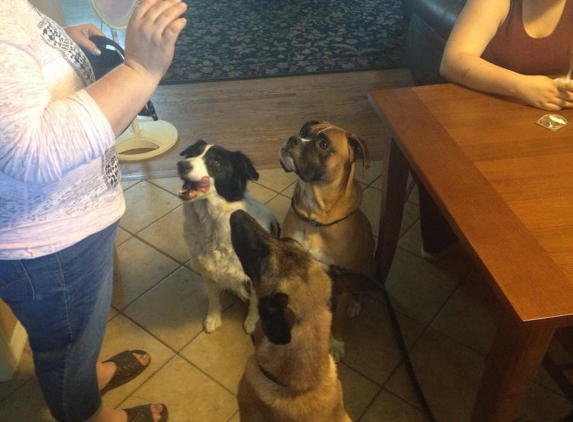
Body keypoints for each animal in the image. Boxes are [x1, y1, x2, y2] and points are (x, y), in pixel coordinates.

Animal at [177, 140, 280, 334]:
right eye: (192, 154)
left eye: (215, 162)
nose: (181, 165)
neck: (211, 221)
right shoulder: (208, 273)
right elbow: (213, 297)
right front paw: (213, 318)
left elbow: (254, 300)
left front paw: (252, 321)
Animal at [278, 120, 376, 362]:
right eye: (304, 132)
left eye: (323, 144)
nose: (293, 138)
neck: (314, 217)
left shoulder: (343, 281)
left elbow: (338, 319)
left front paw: (337, 344)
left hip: (368, 267)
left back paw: (355, 305)